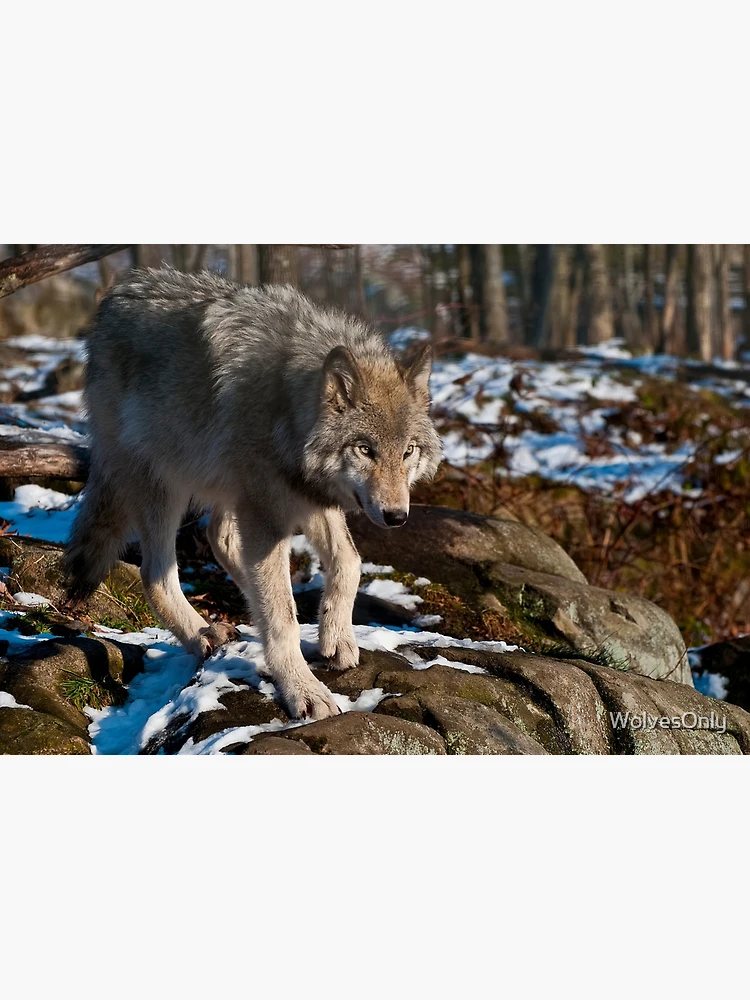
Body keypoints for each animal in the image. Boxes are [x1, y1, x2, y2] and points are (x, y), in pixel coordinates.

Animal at [64, 266, 442, 720]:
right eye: (365, 449)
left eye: (408, 451)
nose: (396, 516)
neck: (285, 407)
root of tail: (116, 295)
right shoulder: (269, 512)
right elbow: (282, 618)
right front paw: (302, 690)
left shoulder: (308, 496)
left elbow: (349, 562)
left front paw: (336, 637)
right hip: (165, 483)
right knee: (156, 575)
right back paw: (202, 634)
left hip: (227, 490)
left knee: (220, 539)